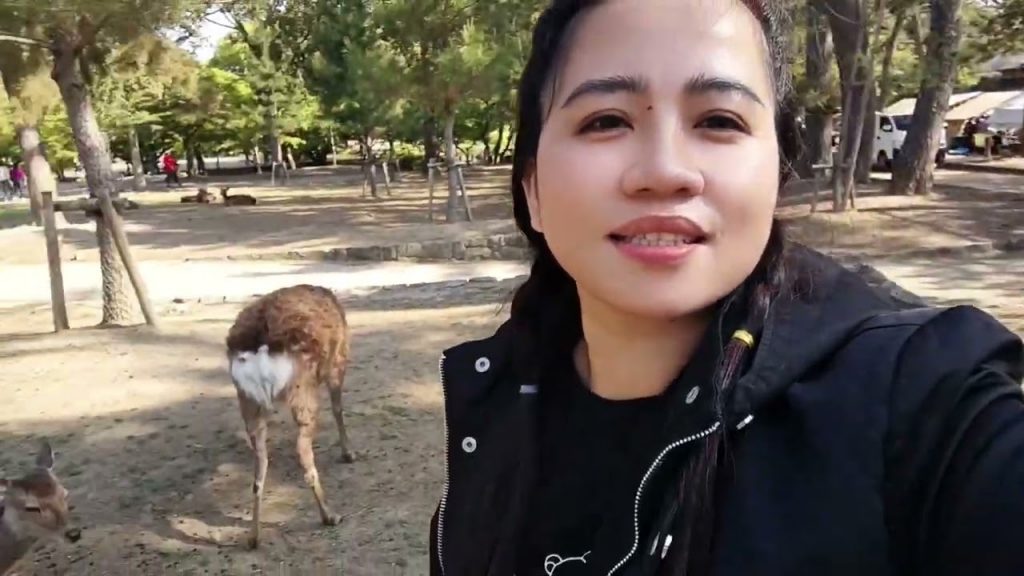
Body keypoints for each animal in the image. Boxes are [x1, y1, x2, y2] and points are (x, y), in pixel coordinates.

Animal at [225, 284, 355, 549]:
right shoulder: (338, 362)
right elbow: (338, 408)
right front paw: (349, 454)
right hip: (302, 390)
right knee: (303, 453)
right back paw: (330, 515)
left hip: (248, 401)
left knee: (260, 466)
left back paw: (253, 538)